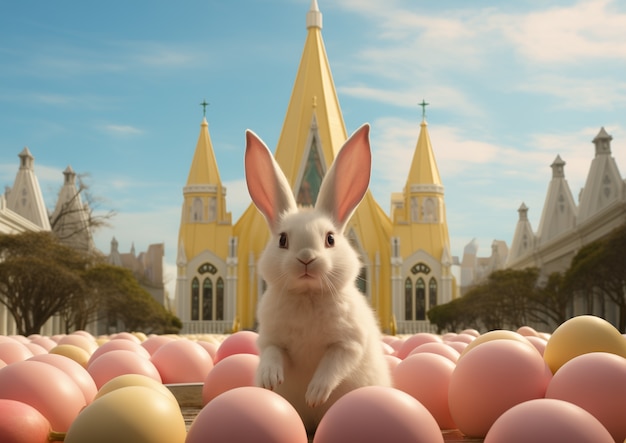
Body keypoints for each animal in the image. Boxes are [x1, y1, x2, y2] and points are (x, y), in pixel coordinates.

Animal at [244, 124, 390, 434]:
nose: (306, 258)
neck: (307, 295)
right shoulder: (271, 339)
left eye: (330, 239)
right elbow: (272, 353)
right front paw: (271, 379)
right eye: (283, 240)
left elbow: (332, 364)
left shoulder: (349, 343)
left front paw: (314, 394)